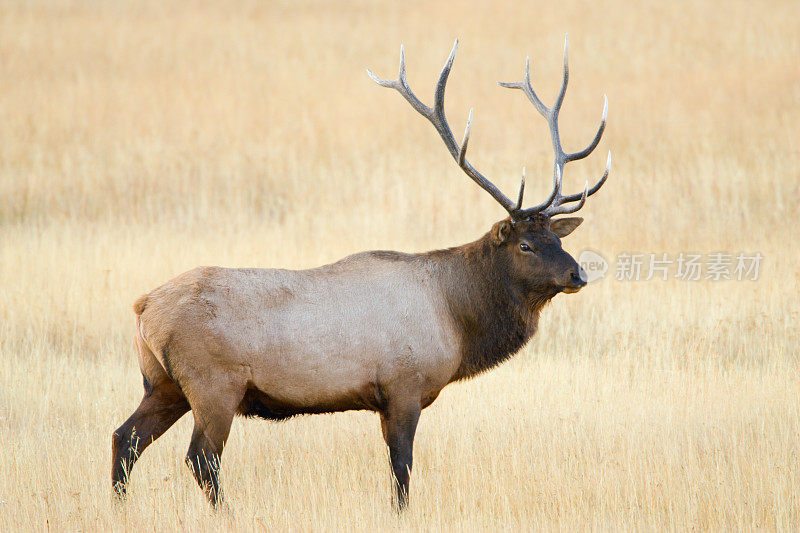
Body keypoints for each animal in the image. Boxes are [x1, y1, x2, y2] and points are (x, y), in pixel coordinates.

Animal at [111, 37, 612, 508]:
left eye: (559, 240)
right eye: (526, 244)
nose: (577, 276)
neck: (457, 319)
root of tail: (143, 307)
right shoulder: (404, 387)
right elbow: (402, 471)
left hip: (164, 383)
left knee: (124, 438)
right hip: (214, 384)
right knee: (200, 458)